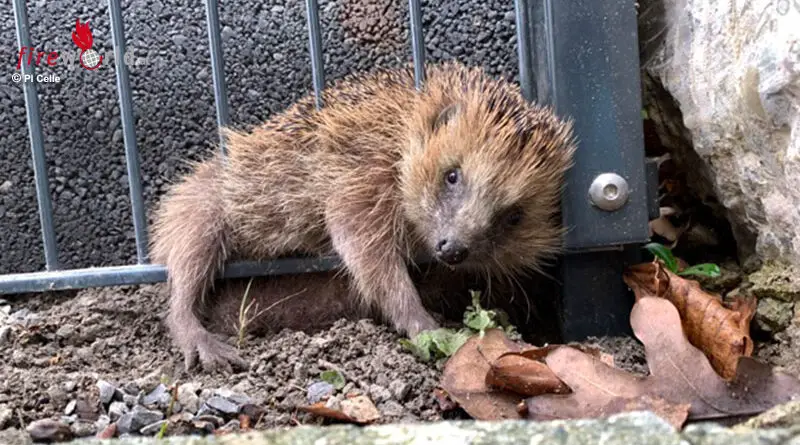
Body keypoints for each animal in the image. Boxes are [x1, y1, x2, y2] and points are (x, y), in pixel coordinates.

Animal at [150, 61, 576, 372]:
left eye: (515, 216)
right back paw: (201, 341)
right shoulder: (363, 173)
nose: (452, 249)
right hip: (210, 196)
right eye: (453, 175)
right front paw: (423, 324)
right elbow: (361, 242)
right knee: (190, 250)